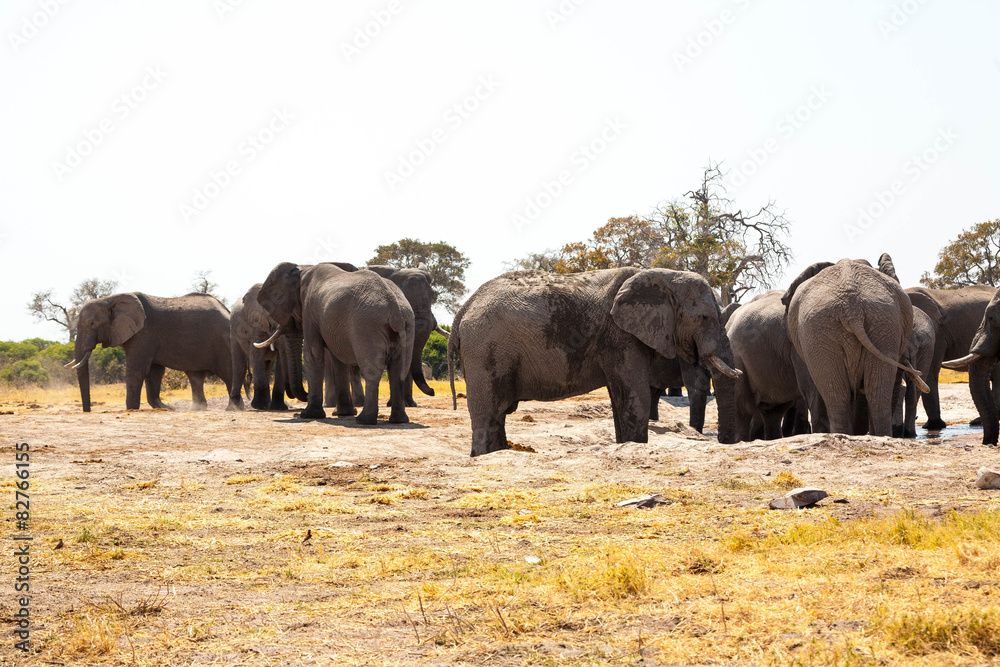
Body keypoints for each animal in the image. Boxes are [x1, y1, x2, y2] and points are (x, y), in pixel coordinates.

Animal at [65, 292, 232, 412]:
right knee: (195, 376)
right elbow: (154, 372)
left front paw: (131, 409)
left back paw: (232, 408)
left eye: (92, 323)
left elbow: (137, 370)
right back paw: (197, 409)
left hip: (223, 343)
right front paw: (166, 408)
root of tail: (227, 311)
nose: (88, 411)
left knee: (228, 372)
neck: (110, 299)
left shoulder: (144, 333)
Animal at [256, 262, 414, 424]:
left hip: (368, 326)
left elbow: (313, 353)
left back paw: (364, 420)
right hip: (407, 324)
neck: (303, 268)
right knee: (398, 369)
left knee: (373, 370)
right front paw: (342, 413)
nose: (305, 395)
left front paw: (309, 415)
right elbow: (338, 360)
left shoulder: (309, 311)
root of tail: (395, 309)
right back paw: (399, 420)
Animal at [448, 268, 741, 457]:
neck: (664, 276)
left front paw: (625, 445)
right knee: (490, 412)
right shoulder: (620, 336)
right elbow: (637, 395)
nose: (724, 442)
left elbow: (620, 397)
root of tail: (464, 308)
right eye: (704, 318)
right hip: (485, 348)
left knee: (495, 415)